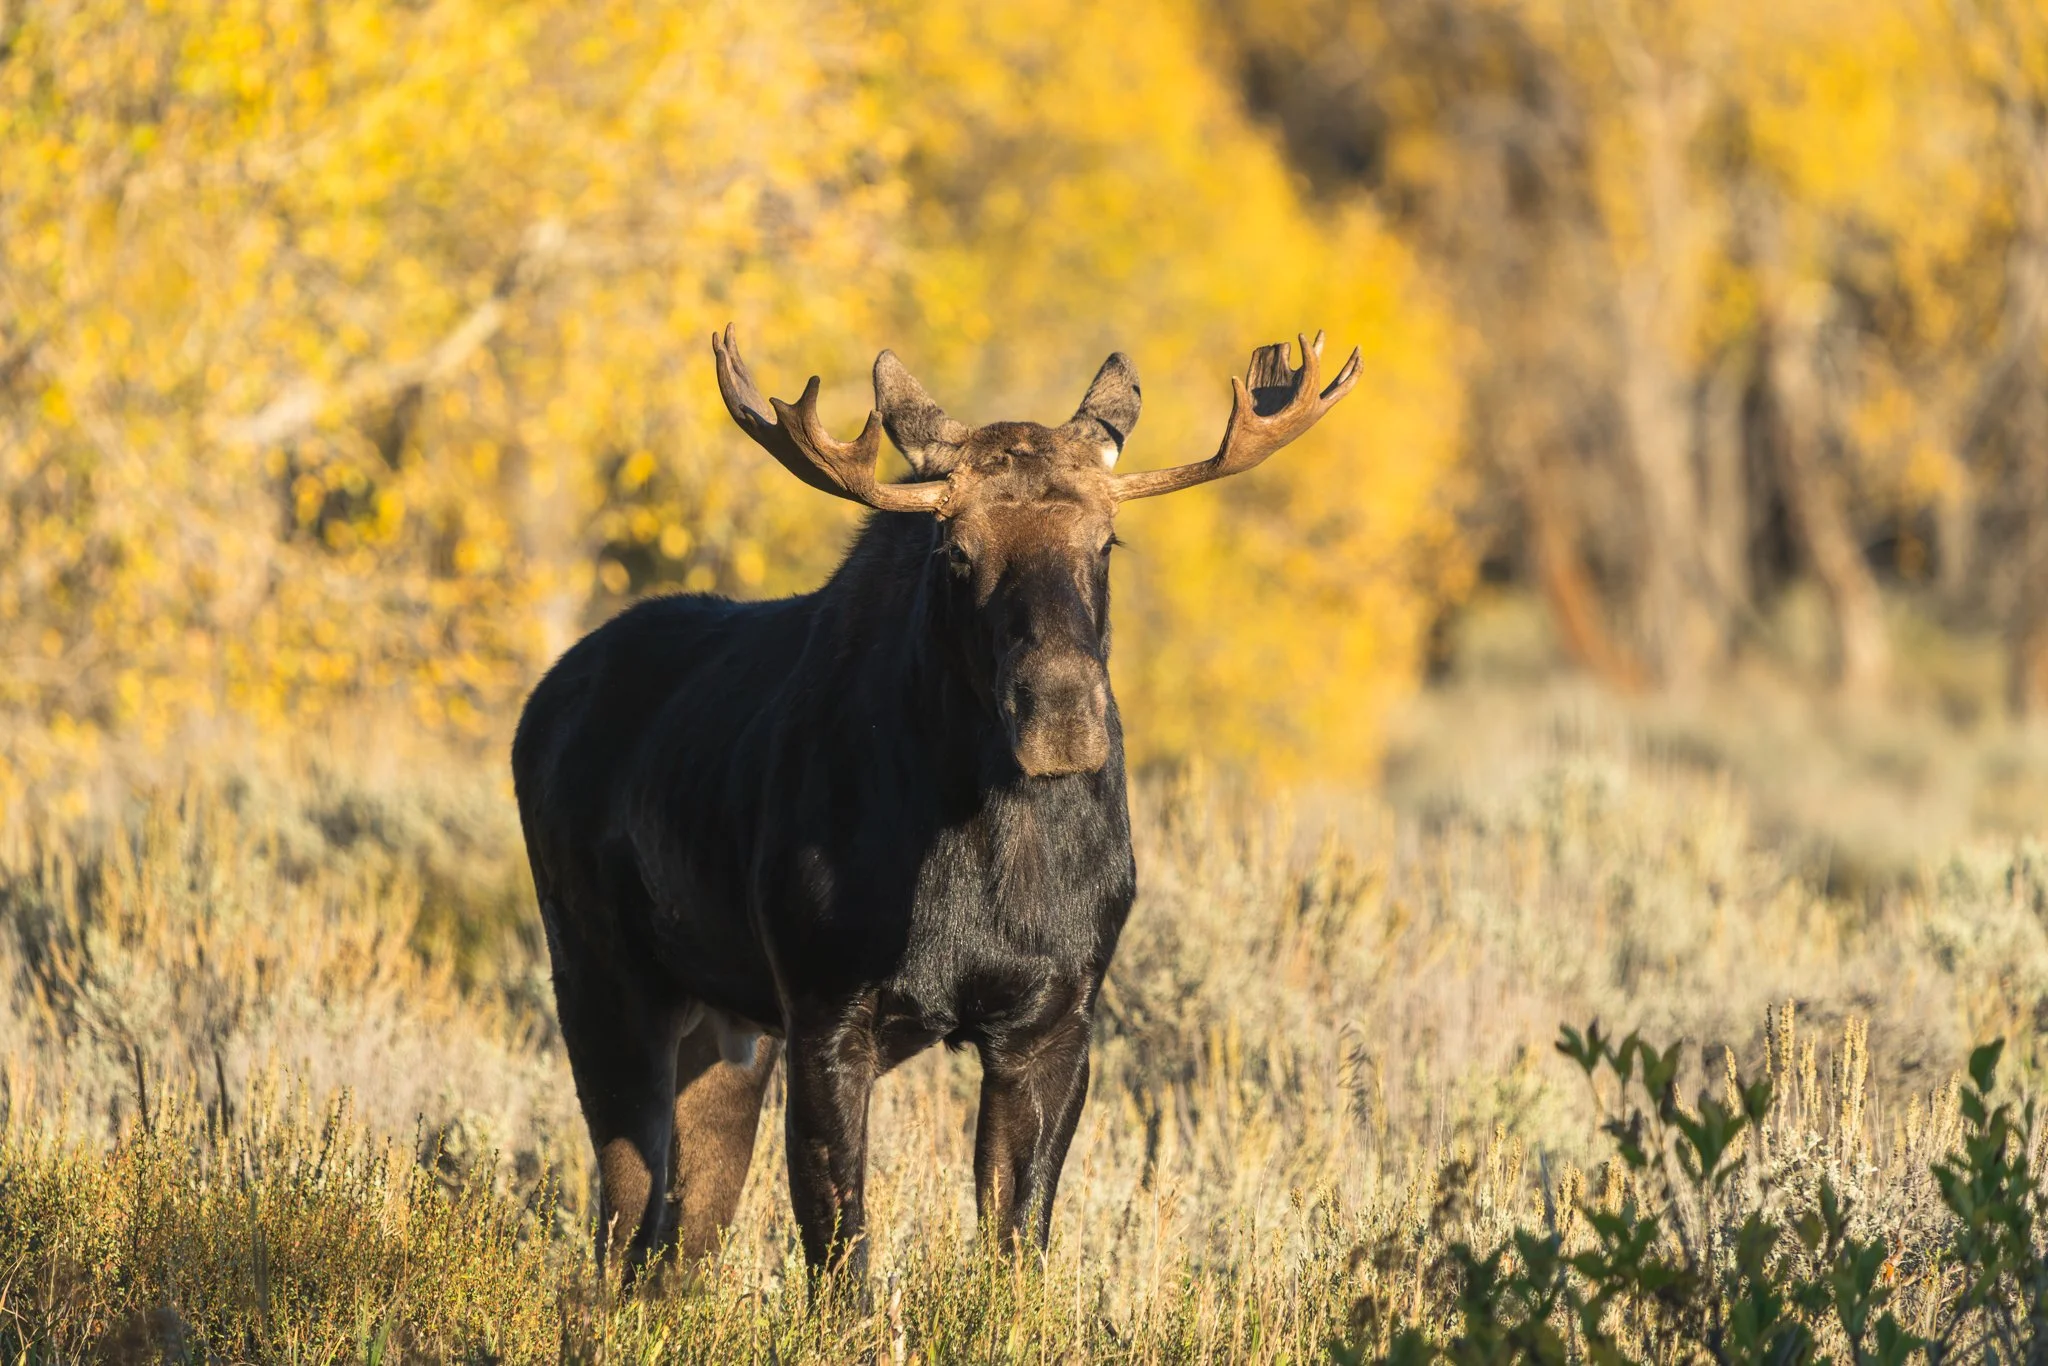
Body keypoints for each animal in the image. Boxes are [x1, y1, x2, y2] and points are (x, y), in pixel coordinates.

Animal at [511, 324, 1359, 1282]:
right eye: (955, 550)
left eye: (1107, 542)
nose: (1062, 715)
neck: (985, 842)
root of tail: (539, 707)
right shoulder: (825, 1013)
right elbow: (842, 1257)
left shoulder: (1053, 1020)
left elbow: (1014, 1244)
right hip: (604, 982)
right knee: (622, 1226)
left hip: (729, 1024)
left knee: (681, 1243)